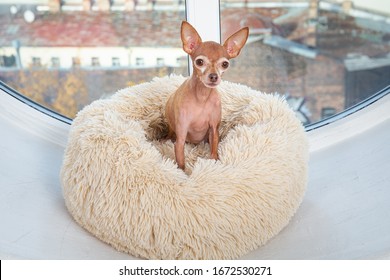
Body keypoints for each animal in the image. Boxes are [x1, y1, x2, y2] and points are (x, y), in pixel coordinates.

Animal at [165, 20, 250, 170]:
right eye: (199, 62)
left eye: (225, 64)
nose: (213, 76)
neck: (201, 97)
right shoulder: (180, 139)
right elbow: (181, 162)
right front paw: (183, 173)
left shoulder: (213, 130)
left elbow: (214, 152)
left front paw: (214, 164)